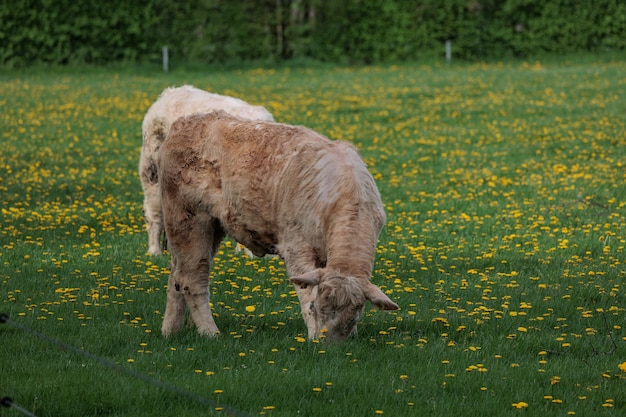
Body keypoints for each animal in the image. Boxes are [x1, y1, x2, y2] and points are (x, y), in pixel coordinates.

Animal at [158, 111, 398, 342]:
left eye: (354, 317)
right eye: (317, 308)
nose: (327, 348)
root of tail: (185, 123)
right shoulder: (296, 247)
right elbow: (306, 294)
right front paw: (312, 337)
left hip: (207, 227)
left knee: (176, 276)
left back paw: (170, 331)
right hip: (188, 220)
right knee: (192, 280)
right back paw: (210, 332)